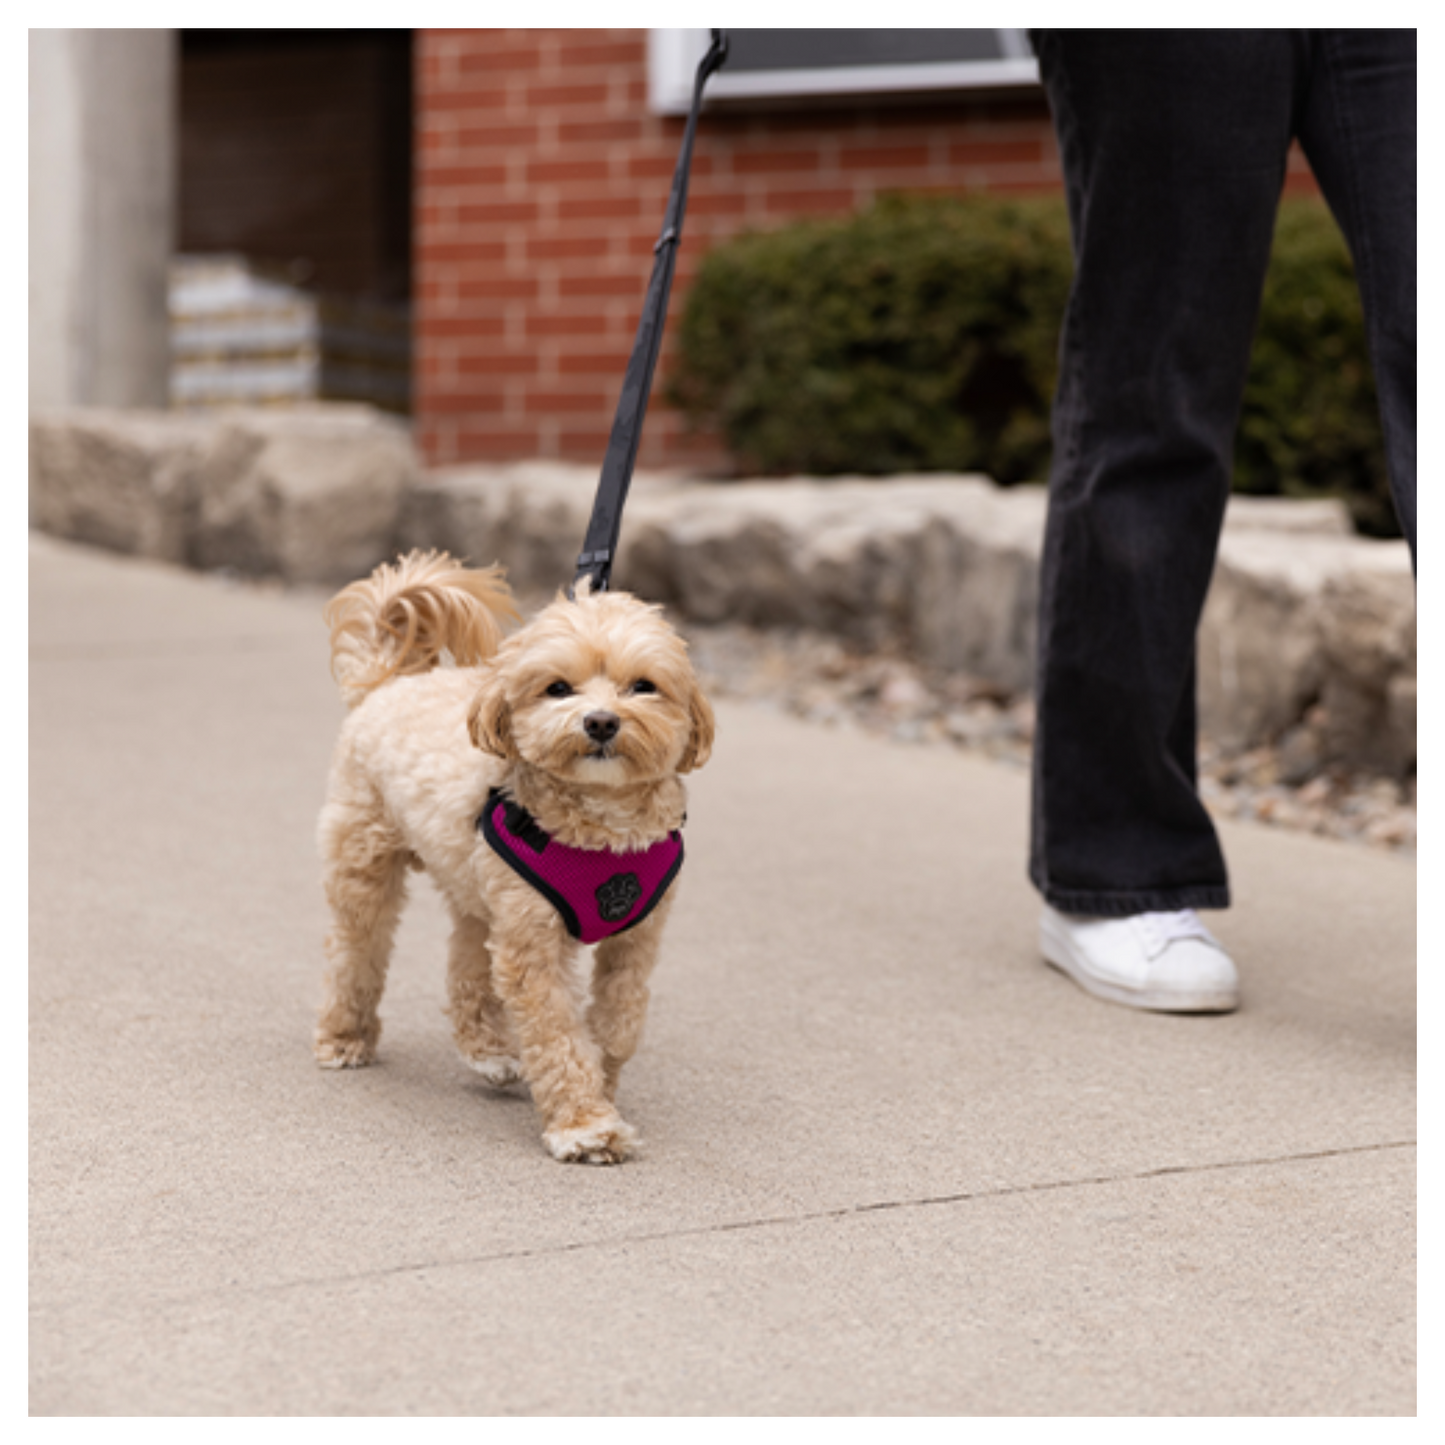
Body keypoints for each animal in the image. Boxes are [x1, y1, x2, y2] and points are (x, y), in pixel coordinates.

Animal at [313, 546, 713, 1167]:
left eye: (643, 686)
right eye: (558, 688)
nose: (601, 722)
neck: (602, 828)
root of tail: (390, 682)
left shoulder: (636, 941)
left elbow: (617, 1022)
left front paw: (600, 1083)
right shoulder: (534, 947)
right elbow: (556, 1032)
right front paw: (585, 1124)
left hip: (479, 891)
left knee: (467, 970)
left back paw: (489, 1051)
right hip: (365, 863)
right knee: (354, 951)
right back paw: (343, 1037)